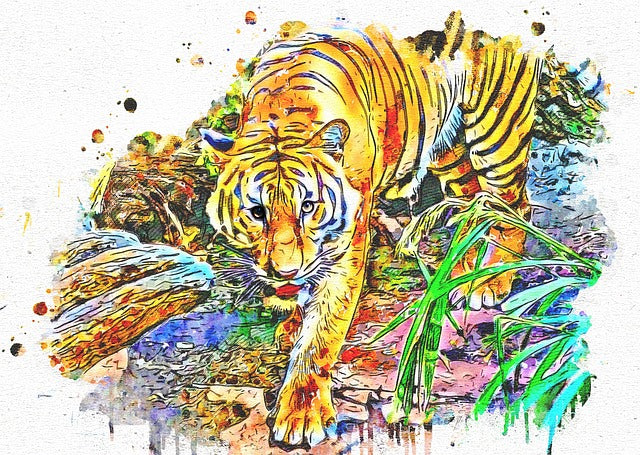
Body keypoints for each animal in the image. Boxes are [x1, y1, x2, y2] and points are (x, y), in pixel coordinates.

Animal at [200, 12, 542, 447]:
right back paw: (461, 274)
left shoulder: (343, 251)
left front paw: (302, 414)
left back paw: (490, 282)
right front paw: (291, 324)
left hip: (497, 126)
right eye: (257, 212)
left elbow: (321, 336)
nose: (285, 270)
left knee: (512, 205)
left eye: (308, 207)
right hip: (448, 146)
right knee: (470, 202)